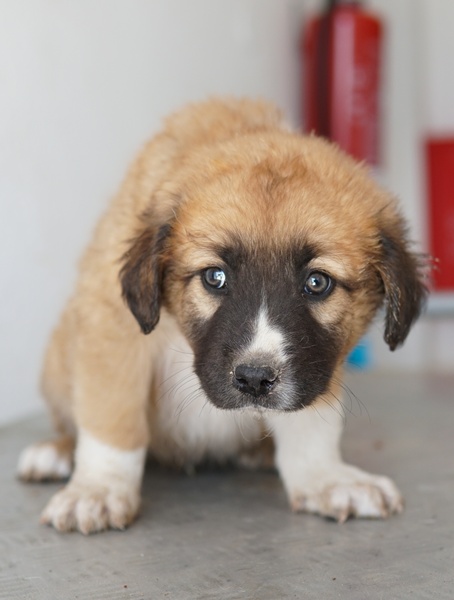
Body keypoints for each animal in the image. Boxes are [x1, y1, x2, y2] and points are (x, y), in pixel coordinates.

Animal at [18, 98, 427, 534]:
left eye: (317, 282)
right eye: (215, 277)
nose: (255, 380)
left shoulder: (320, 365)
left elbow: (313, 424)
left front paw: (326, 478)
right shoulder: (113, 325)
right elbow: (112, 417)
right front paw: (98, 488)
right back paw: (57, 452)